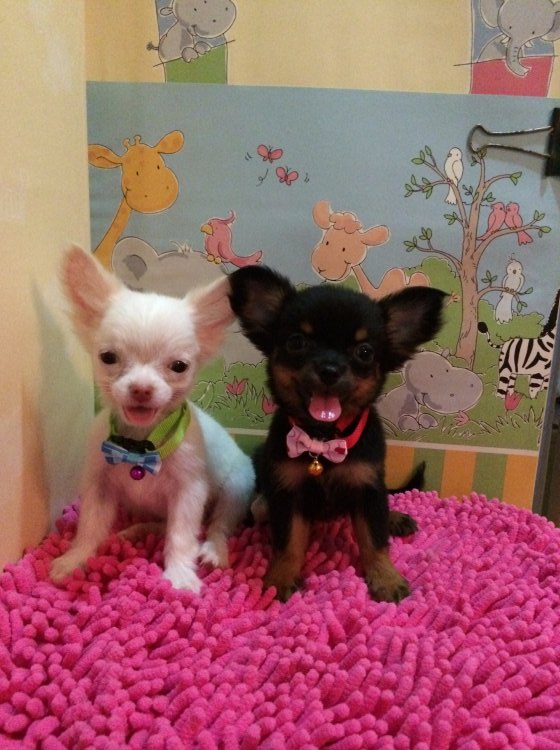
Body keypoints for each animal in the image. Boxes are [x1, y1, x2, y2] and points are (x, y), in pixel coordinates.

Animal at [50, 246, 255, 592]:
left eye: (179, 366)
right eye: (108, 358)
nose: (141, 389)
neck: (140, 443)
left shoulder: (189, 492)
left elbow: (182, 535)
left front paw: (180, 575)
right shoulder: (99, 486)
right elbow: (90, 525)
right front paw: (75, 559)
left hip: (236, 488)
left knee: (218, 526)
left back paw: (214, 551)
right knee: (161, 524)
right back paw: (136, 531)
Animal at [228, 265, 445, 602]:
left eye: (364, 351)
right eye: (297, 343)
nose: (329, 370)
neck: (323, 439)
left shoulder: (367, 487)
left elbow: (374, 539)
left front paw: (385, 577)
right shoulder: (287, 492)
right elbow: (289, 542)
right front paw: (280, 578)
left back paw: (394, 518)